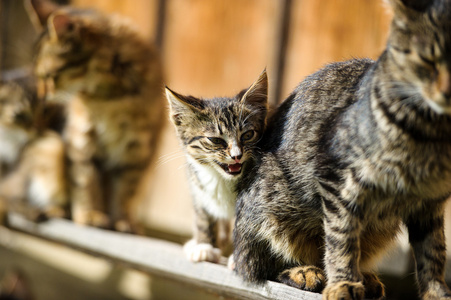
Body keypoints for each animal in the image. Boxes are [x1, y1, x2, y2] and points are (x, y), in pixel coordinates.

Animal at [168, 70, 270, 262]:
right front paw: (205, 245)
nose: (236, 156)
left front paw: (239, 258)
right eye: (215, 140)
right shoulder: (196, 185)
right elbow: (203, 215)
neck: (222, 178)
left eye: (248, 135)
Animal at [235, 0, 451, 298]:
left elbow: (434, 251)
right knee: (258, 266)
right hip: (271, 198)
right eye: (427, 60)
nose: (445, 91)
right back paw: (304, 272)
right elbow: (342, 239)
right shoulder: (338, 182)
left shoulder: (431, 203)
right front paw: (343, 284)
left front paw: (436, 291)